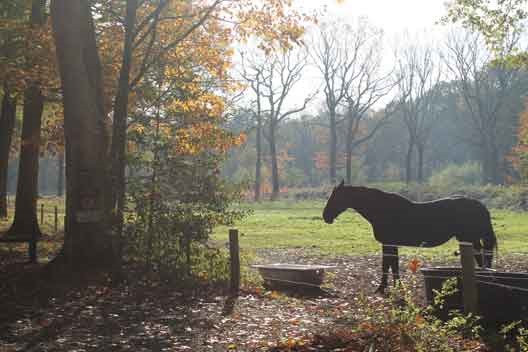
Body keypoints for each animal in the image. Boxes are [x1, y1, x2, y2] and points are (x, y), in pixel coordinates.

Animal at [320, 180, 498, 292]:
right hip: (468, 239)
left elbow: (388, 265)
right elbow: (392, 266)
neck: (382, 209)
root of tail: (479, 205)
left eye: (336, 197)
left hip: (469, 238)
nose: (325, 216)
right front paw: (395, 286)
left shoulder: (389, 244)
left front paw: (383, 288)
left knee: (481, 258)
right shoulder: (390, 244)